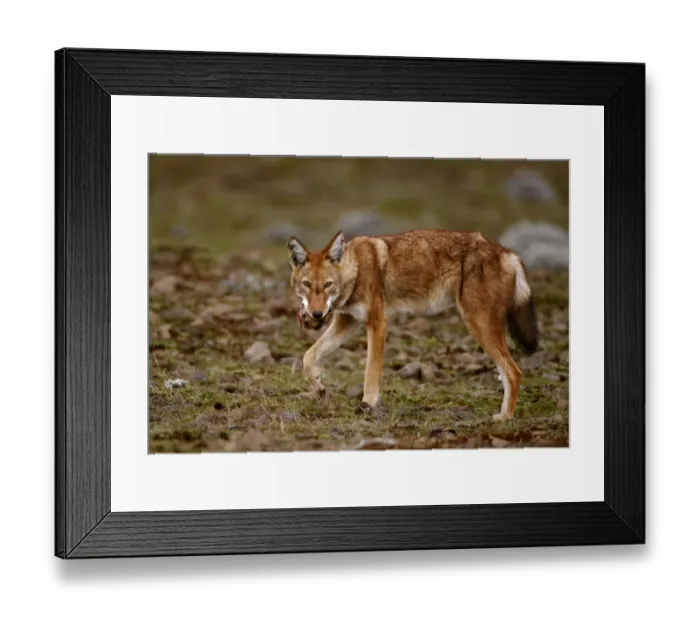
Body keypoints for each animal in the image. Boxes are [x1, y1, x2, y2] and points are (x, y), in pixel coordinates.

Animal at [287, 229, 538, 420]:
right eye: (307, 285)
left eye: (327, 285)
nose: (316, 314)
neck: (355, 270)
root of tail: (509, 253)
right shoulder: (346, 323)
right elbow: (308, 357)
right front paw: (320, 389)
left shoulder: (377, 323)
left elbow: (371, 371)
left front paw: (367, 404)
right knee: (509, 372)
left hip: (478, 325)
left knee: (514, 372)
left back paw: (504, 417)